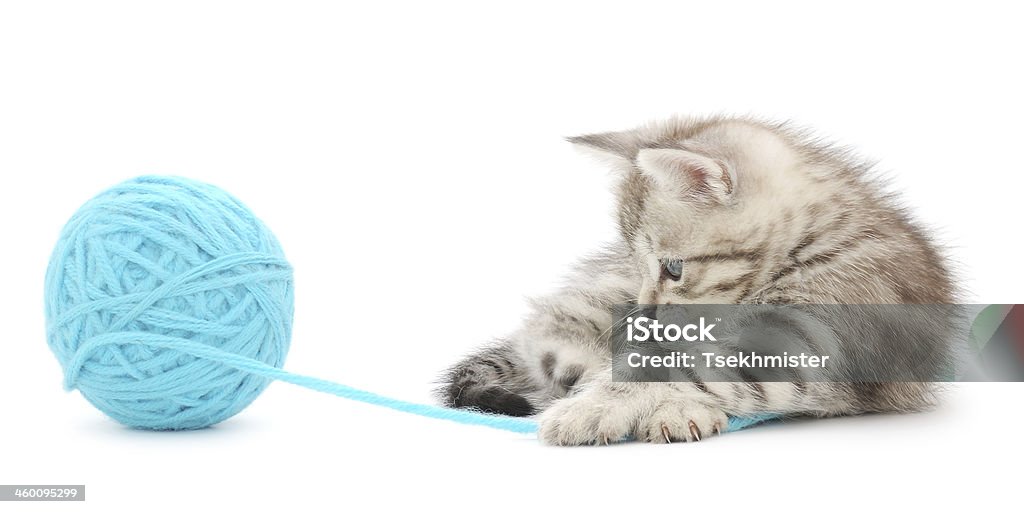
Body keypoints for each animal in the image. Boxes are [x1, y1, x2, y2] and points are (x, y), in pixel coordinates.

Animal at [436, 114, 954, 444]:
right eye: (639, 262)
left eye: (674, 268)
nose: (644, 311)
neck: (805, 243)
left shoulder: (818, 336)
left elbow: (689, 368)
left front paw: (595, 407)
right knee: (547, 331)